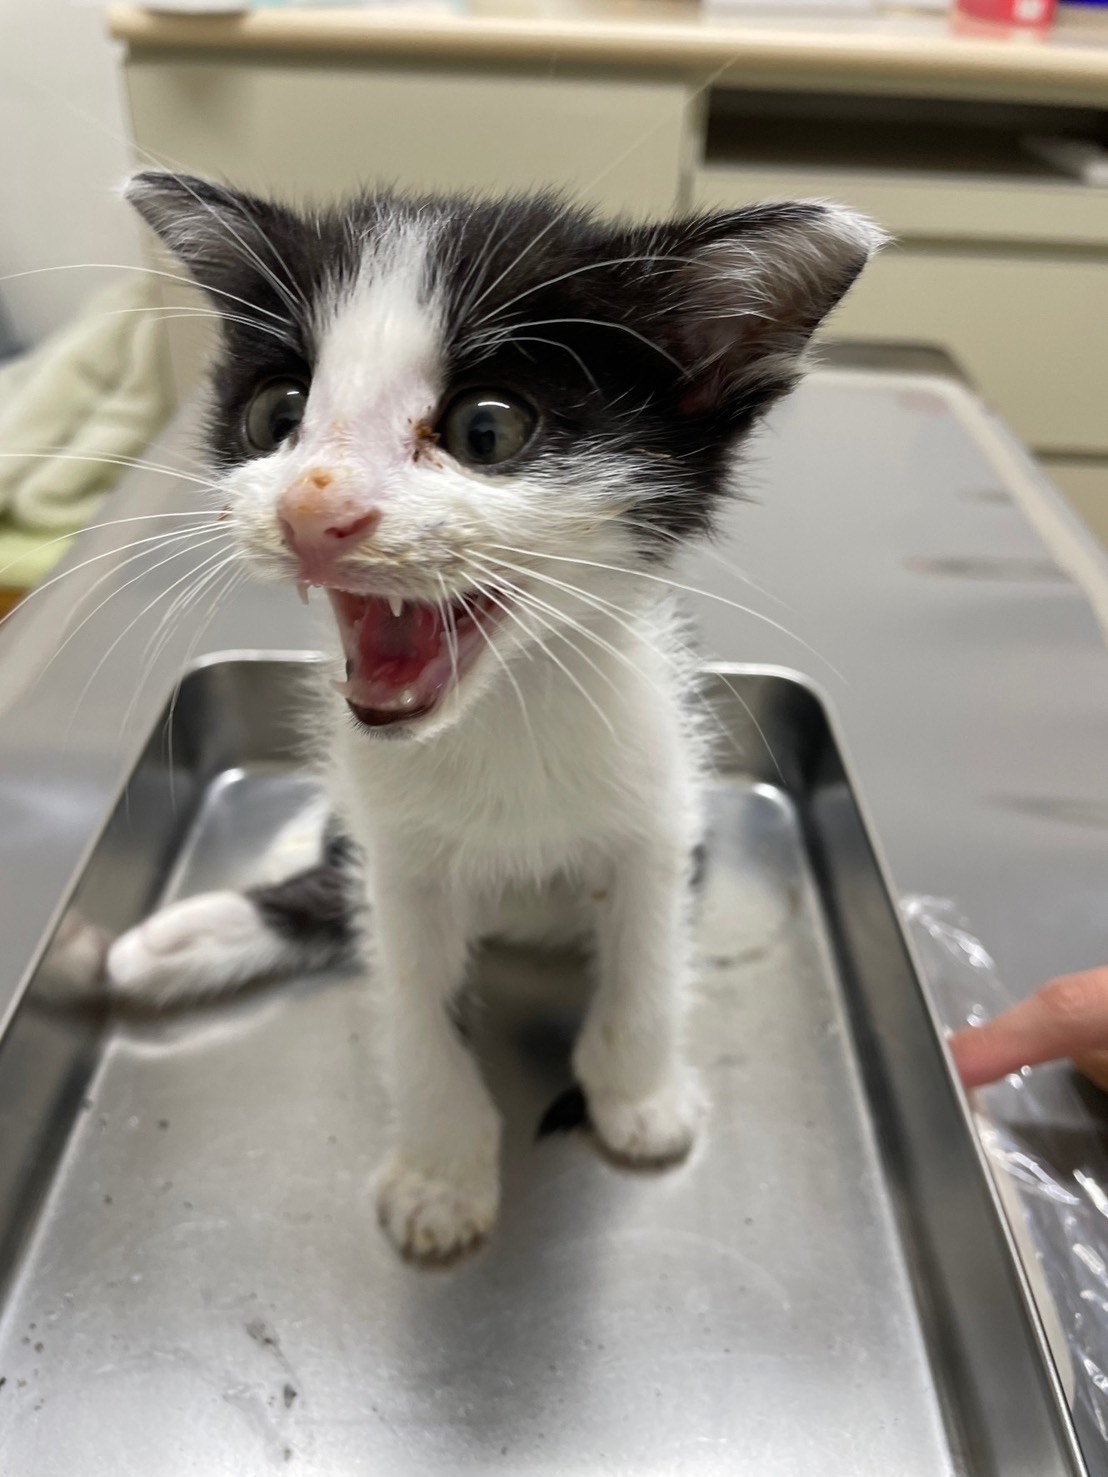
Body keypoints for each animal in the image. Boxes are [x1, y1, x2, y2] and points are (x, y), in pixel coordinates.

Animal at [106, 172, 886, 1258]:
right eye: (278, 411)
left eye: (487, 430)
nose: (311, 511)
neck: (499, 718)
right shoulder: (401, 862)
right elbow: (410, 1003)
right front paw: (440, 1170)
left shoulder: (661, 814)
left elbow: (645, 964)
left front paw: (638, 1093)